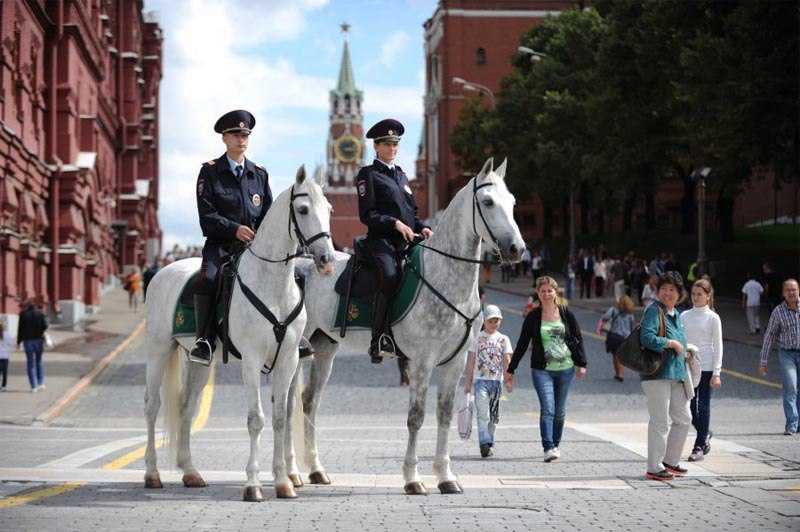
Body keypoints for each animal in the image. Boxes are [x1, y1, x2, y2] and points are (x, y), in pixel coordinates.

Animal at [142, 168, 332, 500]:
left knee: (186, 408)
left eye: (330, 210)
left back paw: (190, 472)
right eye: (303, 209)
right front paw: (253, 484)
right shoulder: (252, 361)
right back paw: (152, 473)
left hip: (198, 364)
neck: (273, 286)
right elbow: (256, 419)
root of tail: (162, 272)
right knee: (153, 407)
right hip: (158, 351)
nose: (326, 259)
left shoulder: (288, 360)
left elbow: (280, 418)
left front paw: (283, 482)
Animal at [294, 157, 524, 494]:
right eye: (488, 202)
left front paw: (446, 476)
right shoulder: (421, 362)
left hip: (324, 347)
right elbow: (416, 417)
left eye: (513, 202)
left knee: (309, 401)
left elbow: (444, 415)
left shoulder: (455, 362)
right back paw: (291, 474)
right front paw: (413, 478)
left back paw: (315, 470)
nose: (517, 249)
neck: (445, 277)